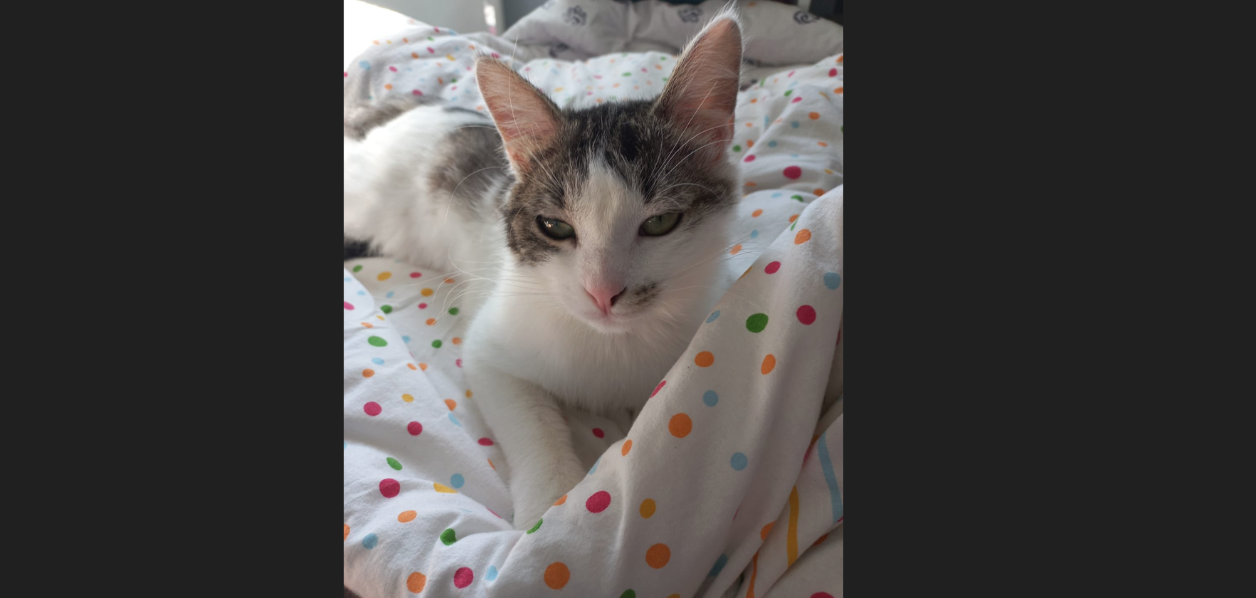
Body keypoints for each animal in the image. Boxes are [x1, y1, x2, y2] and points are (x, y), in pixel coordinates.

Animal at [343, 14, 745, 529]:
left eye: (660, 222)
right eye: (555, 227)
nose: (602, 293)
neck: (611, 345)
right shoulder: (490, 348)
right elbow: (530, 421)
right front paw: (548, 508)